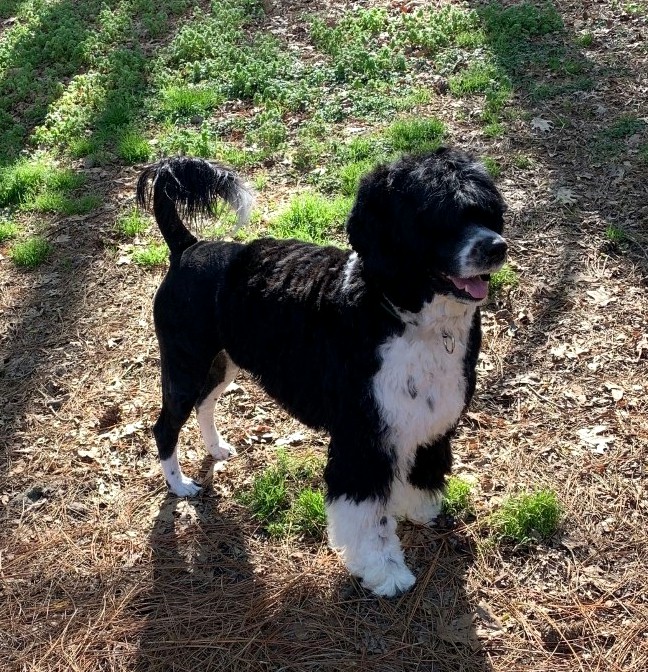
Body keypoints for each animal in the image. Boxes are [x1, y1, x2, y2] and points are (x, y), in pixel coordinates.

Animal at [137, 150, 508, 596]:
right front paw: (385, 572)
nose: (497, 246)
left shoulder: (427, 421)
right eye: (438, 215)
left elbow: (423, 471)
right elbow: (368, 519)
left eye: (485, 212)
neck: (397, 311)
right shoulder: (361, 441)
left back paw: (216, 448)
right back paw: (179, 485)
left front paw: (420, 508)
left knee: (204, 406)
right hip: (184, 366)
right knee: (165, 427)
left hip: (221, 364)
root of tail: (188, 247)